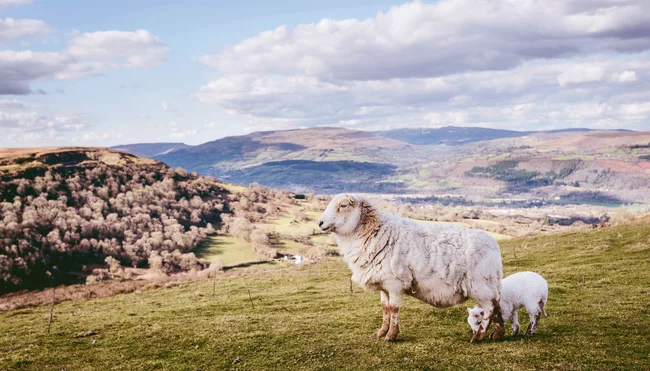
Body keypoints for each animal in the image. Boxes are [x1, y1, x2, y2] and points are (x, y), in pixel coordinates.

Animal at [316, 195, 504, 342]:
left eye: (343, 205)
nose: (320, 223)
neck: (374, 232)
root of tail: (494, 246)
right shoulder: (383, 283)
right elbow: (384, 308)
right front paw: (381, 332)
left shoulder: (395, 283)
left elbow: (393, 309)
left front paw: (391, 336)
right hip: (490, 284)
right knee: (498, 305)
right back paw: (498, 334)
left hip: (479, 285)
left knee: (489, 308)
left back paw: (479, 336)